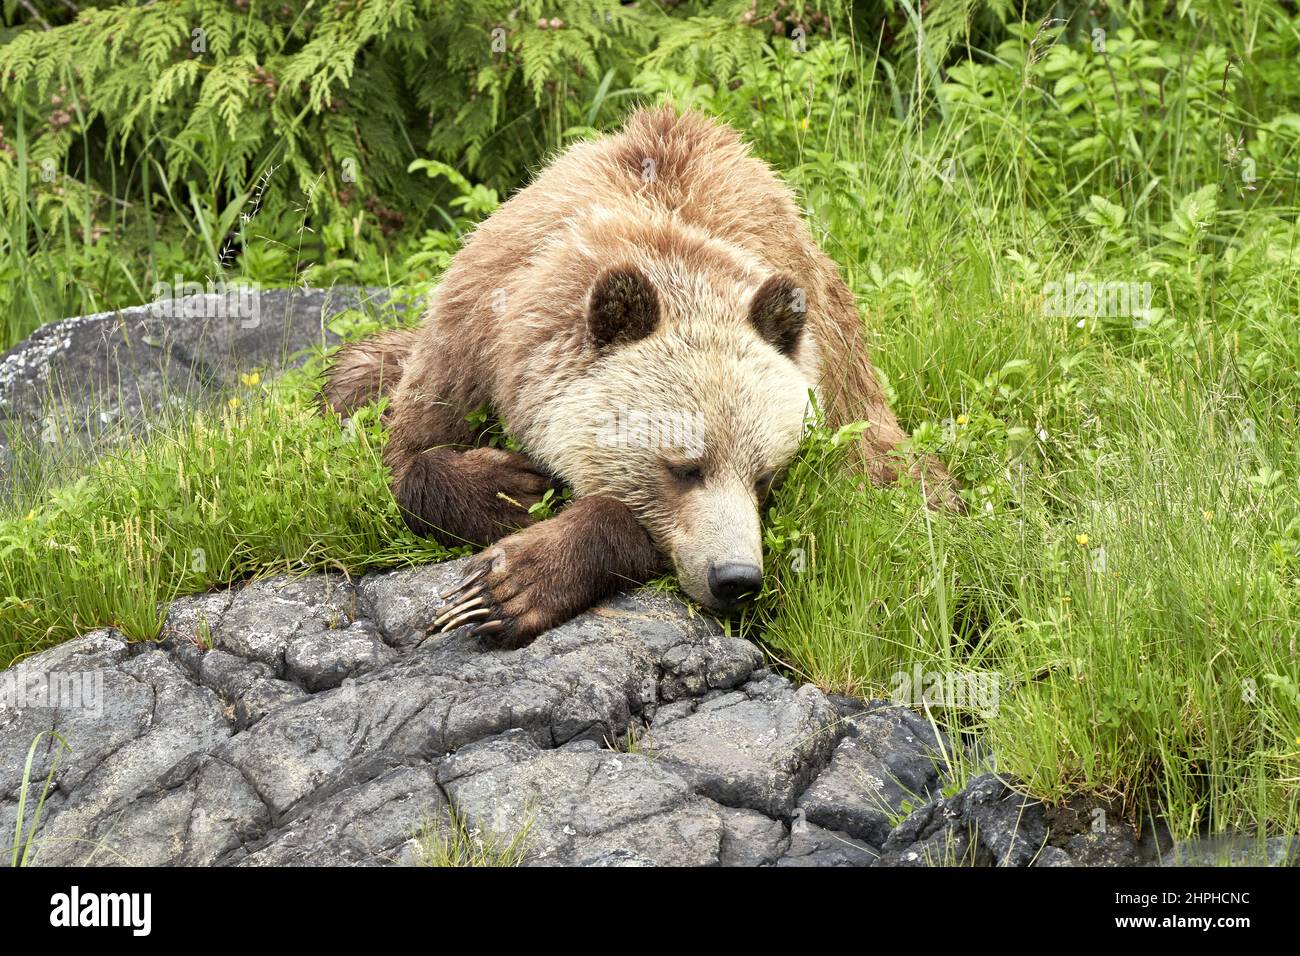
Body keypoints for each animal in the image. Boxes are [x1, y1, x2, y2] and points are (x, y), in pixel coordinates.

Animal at [325, 106, 956, 650]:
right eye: (684, 467)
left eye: (767, 478)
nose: (736, 578)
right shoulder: (472, 331)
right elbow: (410, 454)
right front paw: (510, 488)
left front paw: (514, 580)